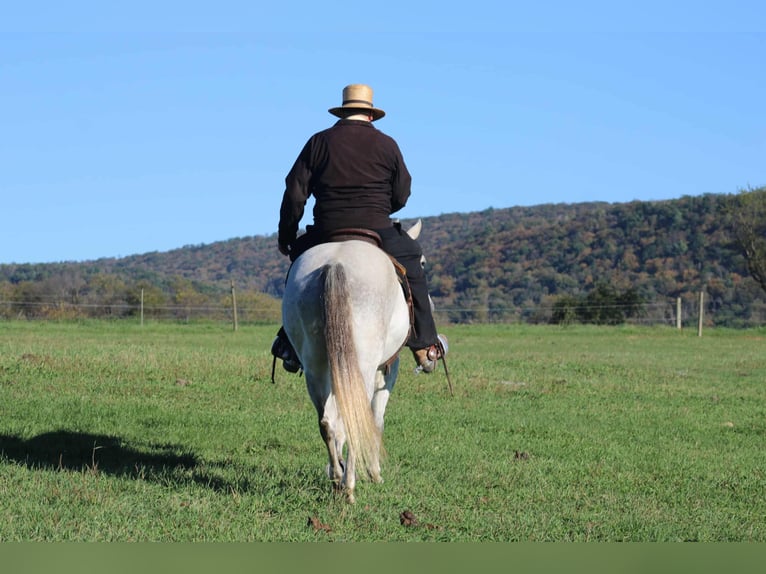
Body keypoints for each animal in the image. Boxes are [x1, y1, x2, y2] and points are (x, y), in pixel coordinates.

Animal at [281, 220, 423, 503]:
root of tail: (335, 263)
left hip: (315, 366)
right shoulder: (387, 370)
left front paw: (335, 467)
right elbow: (375, 419)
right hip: (362, 367)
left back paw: (338, 477)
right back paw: (348, 486)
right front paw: (374, 473)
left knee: (327, 421)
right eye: (421, 263)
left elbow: (336, 422)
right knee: (354, 418)